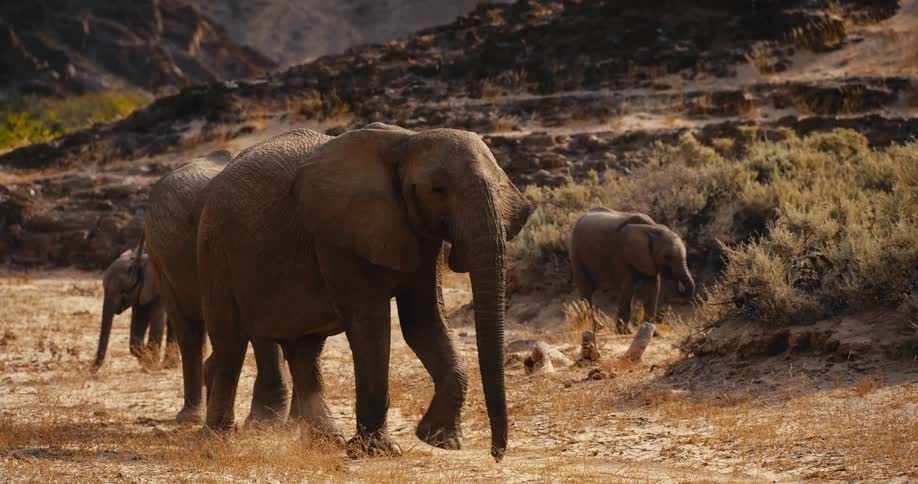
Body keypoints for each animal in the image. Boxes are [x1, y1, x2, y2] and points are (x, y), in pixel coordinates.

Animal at [196, 125, 531, 462]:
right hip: (214, 250)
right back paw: (218, 442)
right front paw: (379, 450)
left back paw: (326, 441)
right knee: (230, 342)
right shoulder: (338, 234)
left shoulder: (420, 234)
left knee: (305, 350)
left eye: (499, 187)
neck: (407, 142)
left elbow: (424, 321)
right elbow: (370, 324)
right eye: (438, 190)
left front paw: (440, 440)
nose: (496, 455)